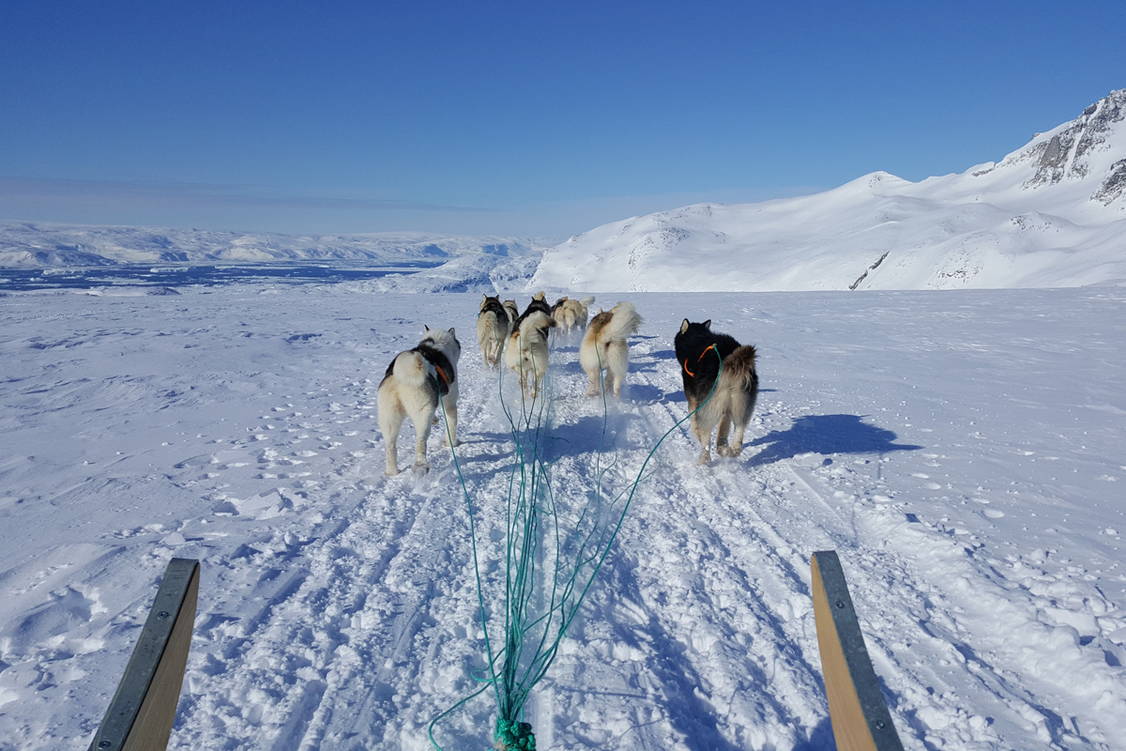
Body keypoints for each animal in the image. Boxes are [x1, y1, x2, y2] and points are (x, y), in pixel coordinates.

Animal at [378, 324, 461, 475]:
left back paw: (392, 472)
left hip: (389, 418)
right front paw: (452, 443)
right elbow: (452, 425)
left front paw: (436, 420)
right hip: (422, 413)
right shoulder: (450, 403)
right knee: (421, 440)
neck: (435, 342)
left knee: (390, 445)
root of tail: (399, 377)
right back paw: (421, 465)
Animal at [675, 319, 756, 463]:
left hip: (708, 406)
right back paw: (730, 449)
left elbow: (694, 424)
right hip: (741, 404)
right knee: (739, 427)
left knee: (706, 436)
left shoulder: (693, 401)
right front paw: (723, 446)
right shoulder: (726, 410)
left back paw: (704, 458)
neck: (697, 338)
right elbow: (723, 427)